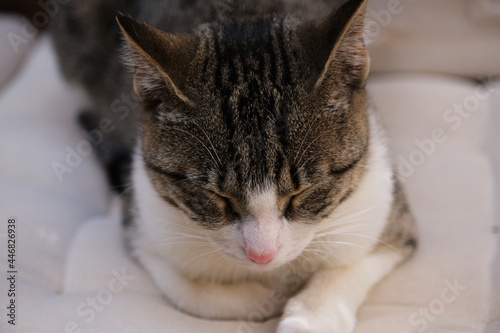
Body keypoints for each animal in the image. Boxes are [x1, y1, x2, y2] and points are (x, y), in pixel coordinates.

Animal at [52, 0, 418, 330]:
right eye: (217, 197)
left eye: (302, 192)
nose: (262, 255)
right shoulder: (142, 219)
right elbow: (186, 287)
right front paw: (261, 299)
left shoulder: (386, 211)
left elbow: (349, 268)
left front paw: (310, 316)